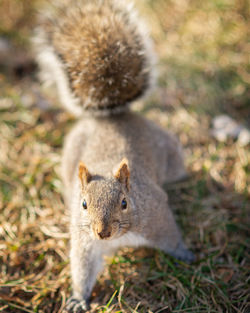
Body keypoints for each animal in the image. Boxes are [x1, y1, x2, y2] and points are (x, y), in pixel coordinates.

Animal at [33, 0, 194, 310]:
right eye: (83, 204)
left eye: (124, 203)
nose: (102, 232)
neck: (119, 237)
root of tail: (114, 116)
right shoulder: (85, 243)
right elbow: (83, 270)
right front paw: (78, 299)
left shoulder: (156, 215)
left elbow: (171, 237)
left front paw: (185, 254)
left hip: (170, 153)